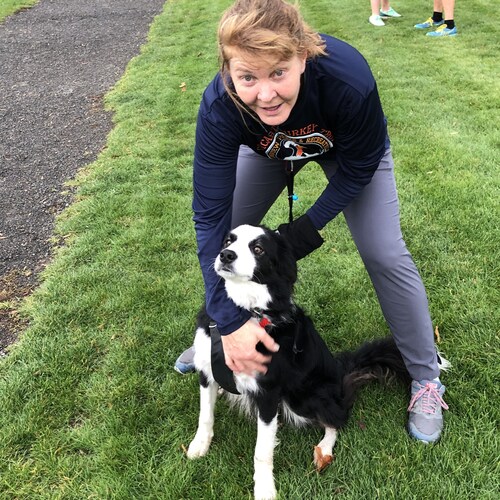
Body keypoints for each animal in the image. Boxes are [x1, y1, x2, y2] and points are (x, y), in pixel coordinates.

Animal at [187, 225, 410, 498]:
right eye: (228, 241)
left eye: (258, 249)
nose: (226, 255)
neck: (245, 312)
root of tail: (340, 372)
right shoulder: (207, 372)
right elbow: (205, 416)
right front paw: (199, 445)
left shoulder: (268, 393)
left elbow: (262, 450)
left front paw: (264, 488)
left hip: (302, 398)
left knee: (338, 418)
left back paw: (324, 450)